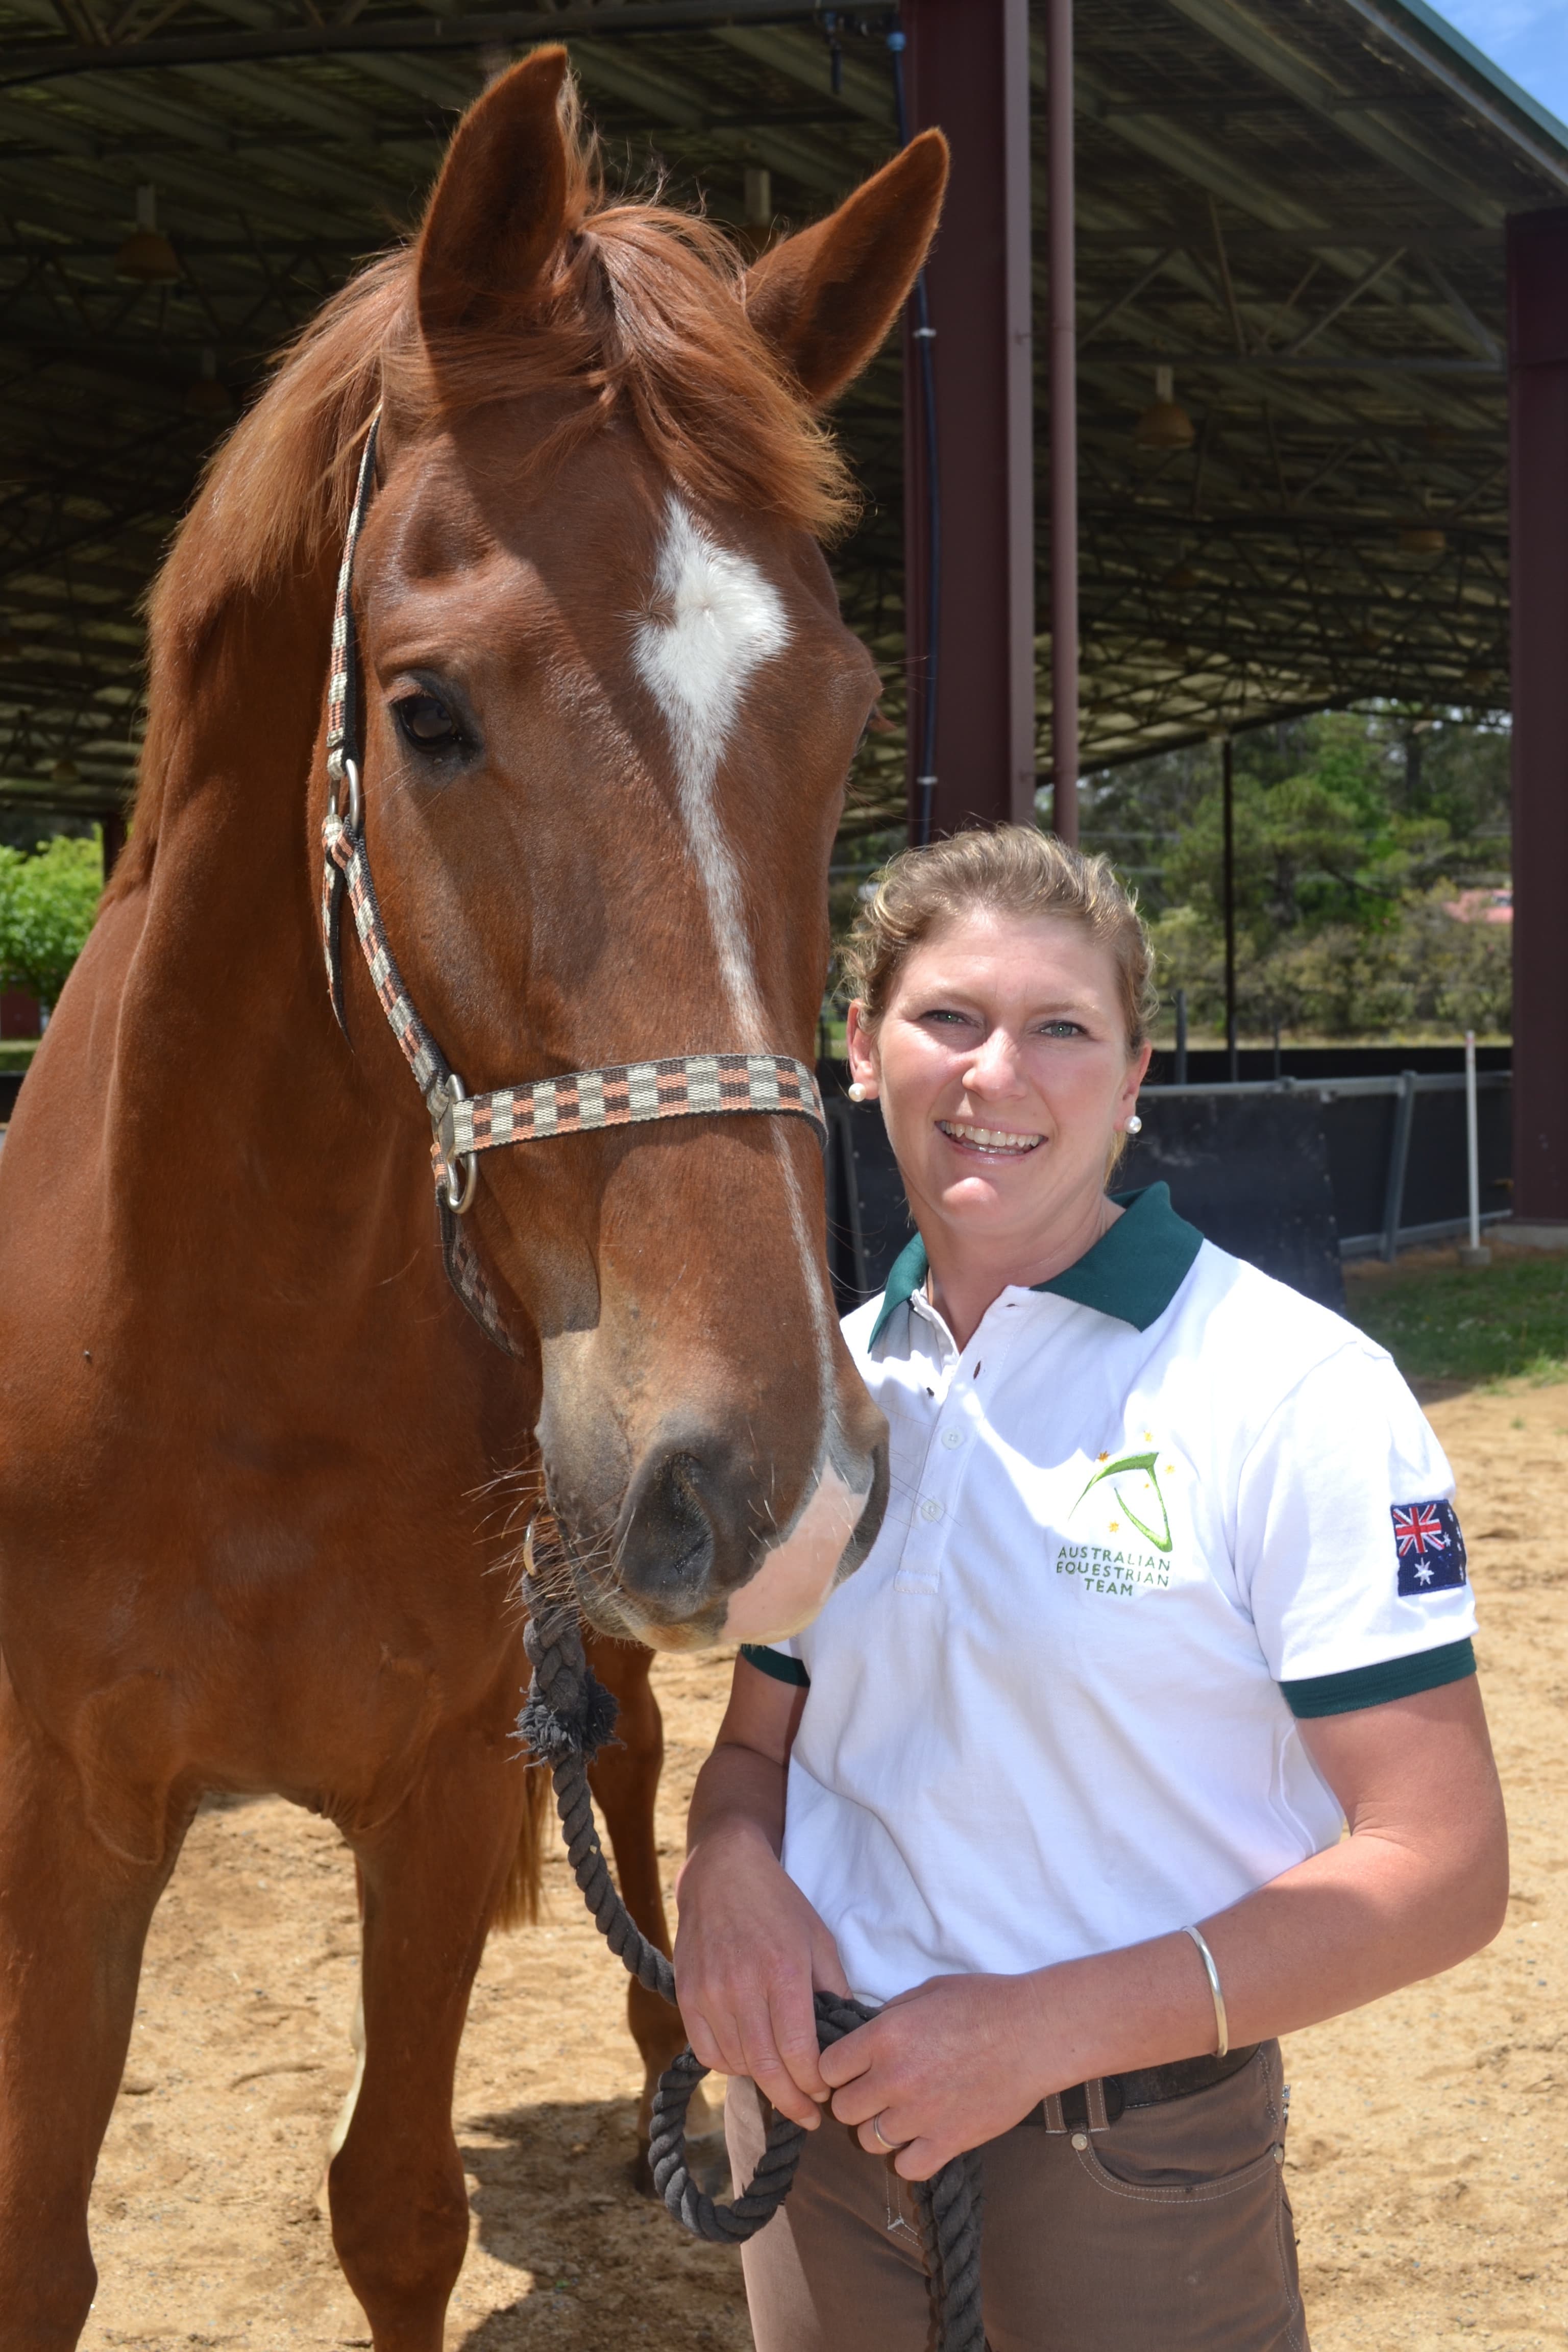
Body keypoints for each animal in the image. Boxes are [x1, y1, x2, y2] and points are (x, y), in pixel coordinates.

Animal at [0, 45, 945, 2352]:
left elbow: (400, 2208)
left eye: (844, 717)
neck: (226, 1359)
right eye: (423, 712)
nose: (777, 1469)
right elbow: (43, 2241)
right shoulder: (63, 1814)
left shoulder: (433, 1787)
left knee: (631, 1767)